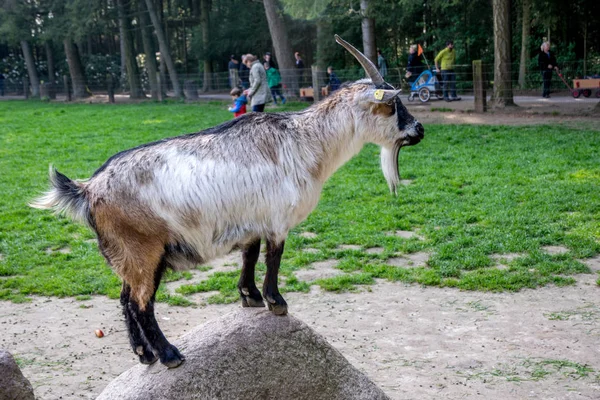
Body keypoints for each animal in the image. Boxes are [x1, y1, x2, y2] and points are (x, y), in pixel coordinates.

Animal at [31, 36, 422, 368]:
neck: (307, 142)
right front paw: (276, 303)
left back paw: (145, 355)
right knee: (141, 303)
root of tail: (88, 189)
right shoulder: (278, 220)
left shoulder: (251, 220)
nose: (419, 130)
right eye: (393, 105)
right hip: (143, 249)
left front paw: (249, 297)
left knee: (126, 299)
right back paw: (169, 355)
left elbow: (249, 254)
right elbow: (274, 258)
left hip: (129, 256)